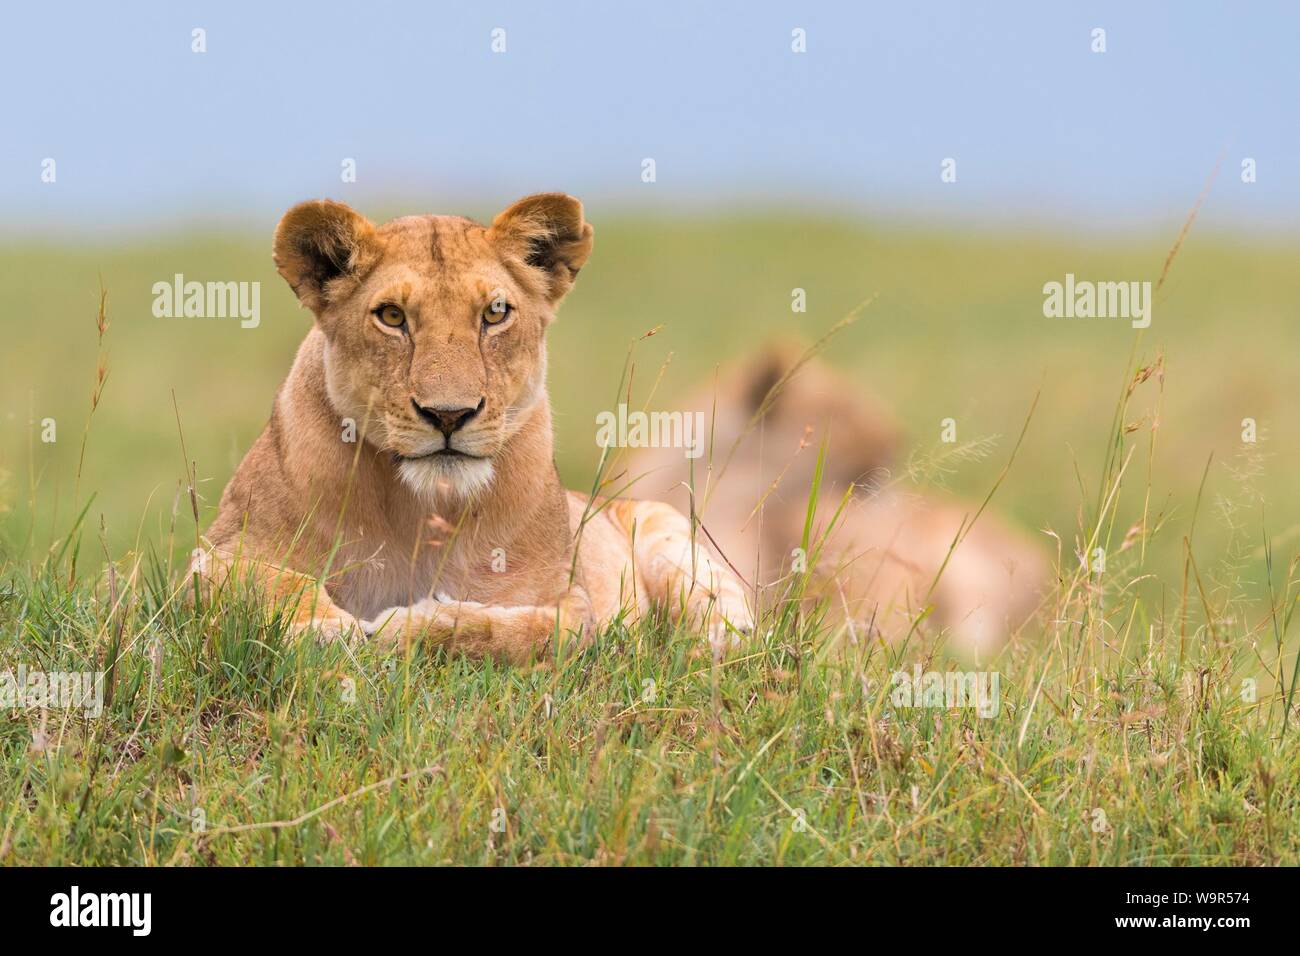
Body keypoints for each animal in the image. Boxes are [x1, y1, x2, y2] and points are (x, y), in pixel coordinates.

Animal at [197, 194, 751, 662]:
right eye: (392, 316)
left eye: (495, 313)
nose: (448, 414)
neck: (421, 512)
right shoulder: (212, 558)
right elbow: (266, 582)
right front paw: (322, 628)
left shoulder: (569, 598)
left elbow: (518, 631)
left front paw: (405, 626)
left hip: (670, 534)